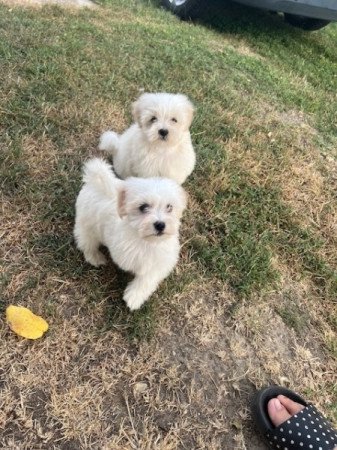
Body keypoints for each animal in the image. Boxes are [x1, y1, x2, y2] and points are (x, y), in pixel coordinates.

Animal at [73, 157, 186, 310]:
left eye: (169, 207)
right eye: (143, 207)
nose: (160, 225)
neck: (147, 242)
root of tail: (95, 180)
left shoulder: (162, 260)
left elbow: (149, 277)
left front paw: (134, 297)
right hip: (87, 224)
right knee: (86, 242)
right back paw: (95, 257)